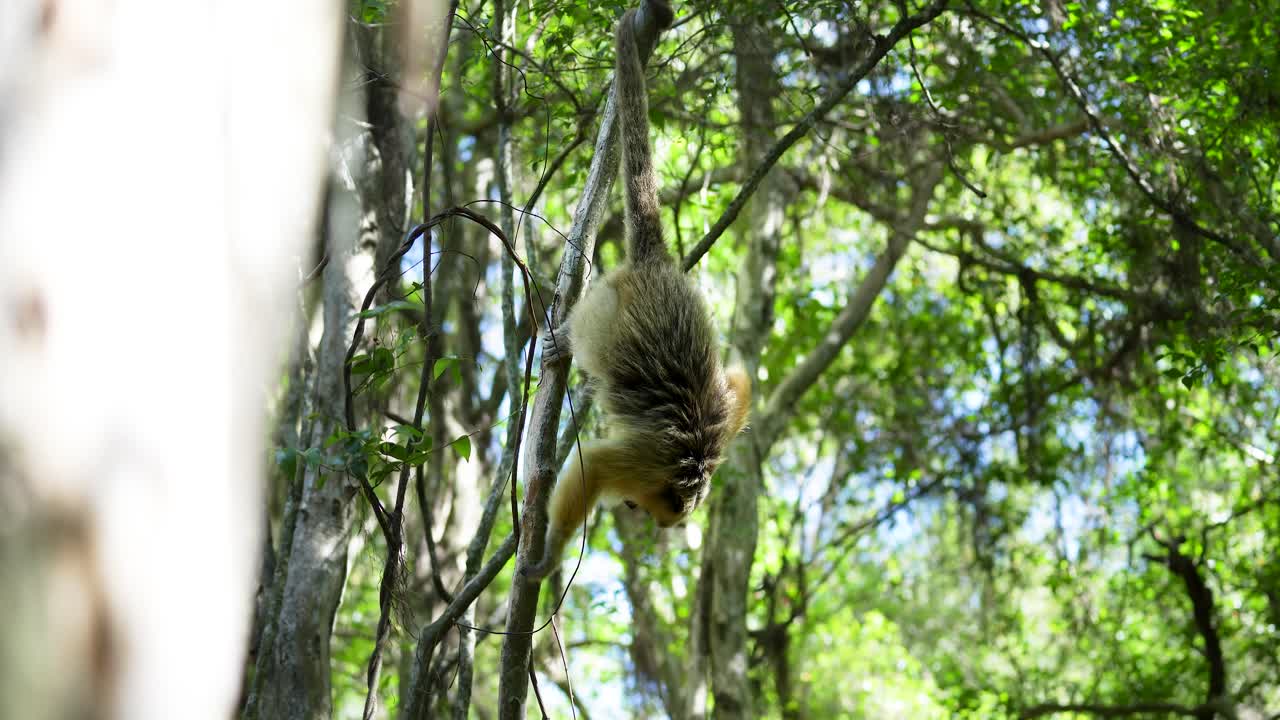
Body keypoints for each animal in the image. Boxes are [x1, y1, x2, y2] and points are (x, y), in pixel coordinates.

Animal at [522, 0, 751, 580]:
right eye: (647, 507)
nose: (633, 509)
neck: (690, 468)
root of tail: (655, 268)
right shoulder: (648, 461)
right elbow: (596, 465)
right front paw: (551, 552)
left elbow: (741, 381)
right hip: (606, 308)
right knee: (588, 333)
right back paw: (563, 341)